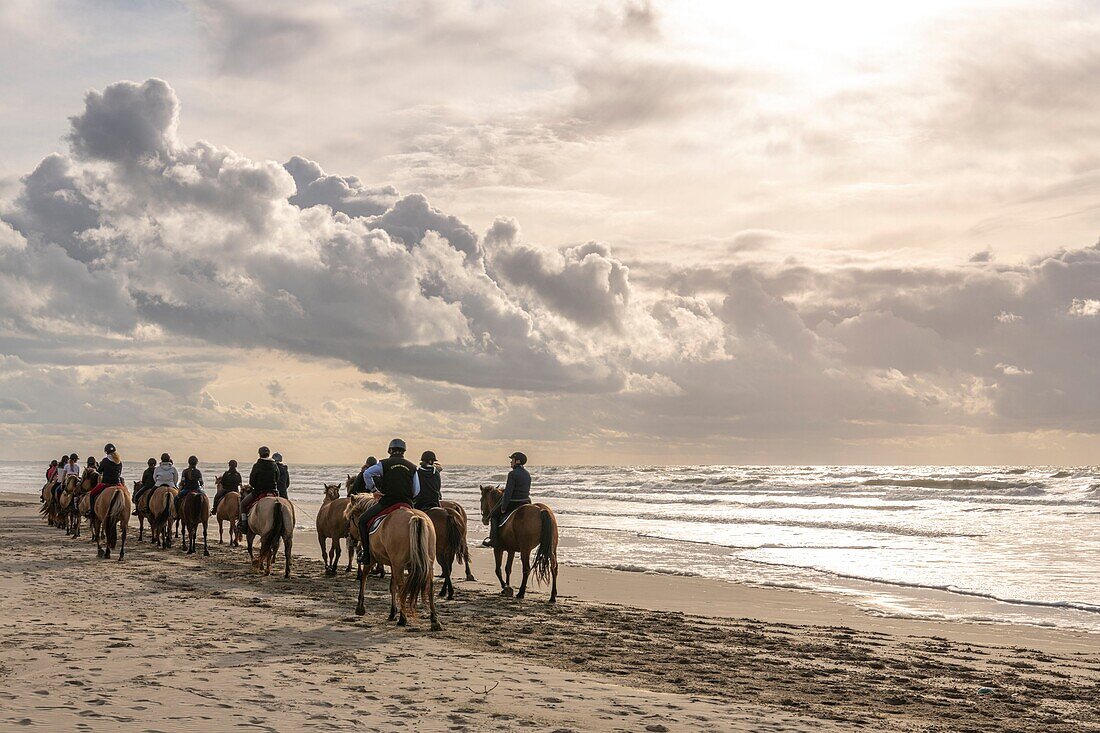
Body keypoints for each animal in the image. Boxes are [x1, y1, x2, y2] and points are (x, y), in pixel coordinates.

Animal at [347, 497, 442, 629]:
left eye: (351, 517)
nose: (351, 537)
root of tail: (416, 517)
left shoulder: (372, 560)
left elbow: (364, 578)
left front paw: (360, 606)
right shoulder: (394, 564)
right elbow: (392, 586)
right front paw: (392, 612)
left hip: (399, 565)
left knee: (402, 587)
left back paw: (403, 619)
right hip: (426, 563)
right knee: (429, 587)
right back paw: (434, 619)